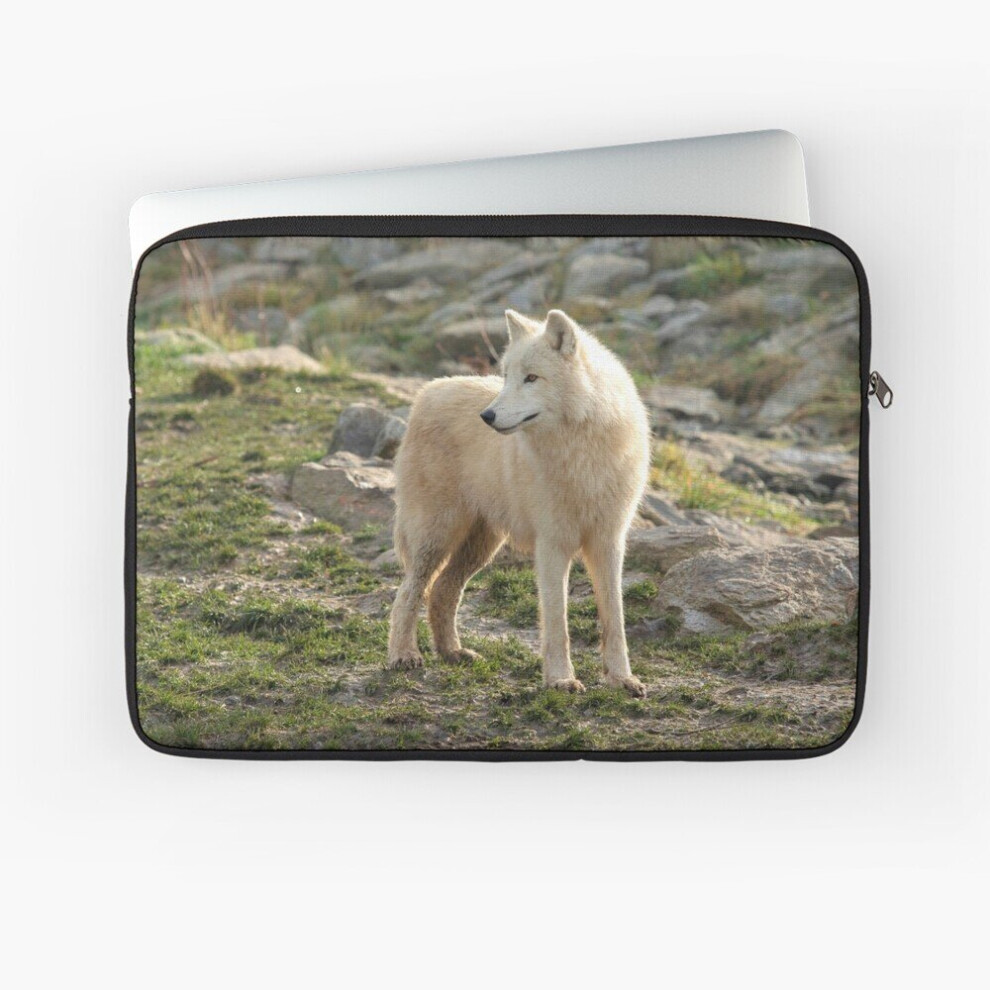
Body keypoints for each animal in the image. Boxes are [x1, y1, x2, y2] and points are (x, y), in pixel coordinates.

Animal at [387, 308, 651, 696]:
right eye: (507, 377)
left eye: (531, 378)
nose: (487, 416)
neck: (580, 452)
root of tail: (429, 390)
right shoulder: (552, 545)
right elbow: (556, 621)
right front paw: (560, 679)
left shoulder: (609, 542)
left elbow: (613, 619)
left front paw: (622, 679)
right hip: (437, 537)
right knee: (407, 593)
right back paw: (404, 655)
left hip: (480, 548)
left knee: (441, 591)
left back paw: (452, 652)